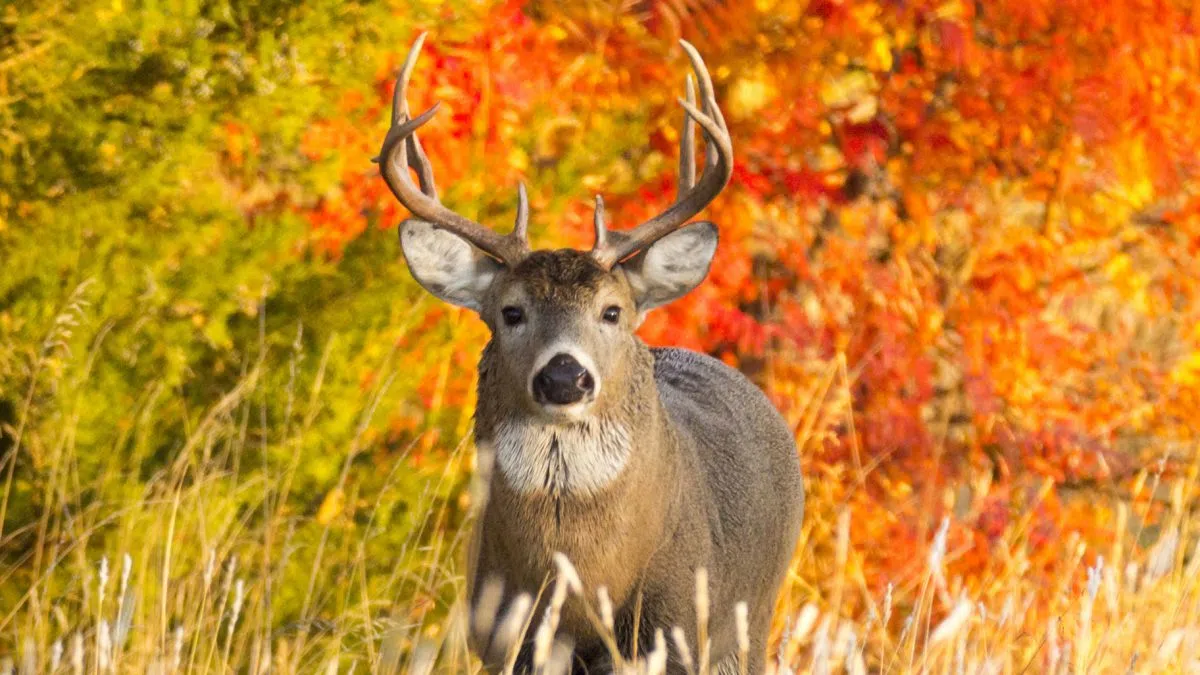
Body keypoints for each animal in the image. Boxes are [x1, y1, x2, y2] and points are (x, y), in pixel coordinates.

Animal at [376, 33, 804, 674]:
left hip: (750, 623)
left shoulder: (676, 629)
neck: (580, 580)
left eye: (612, 311)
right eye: (511, 312)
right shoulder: (504, 636)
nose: (563, 376)